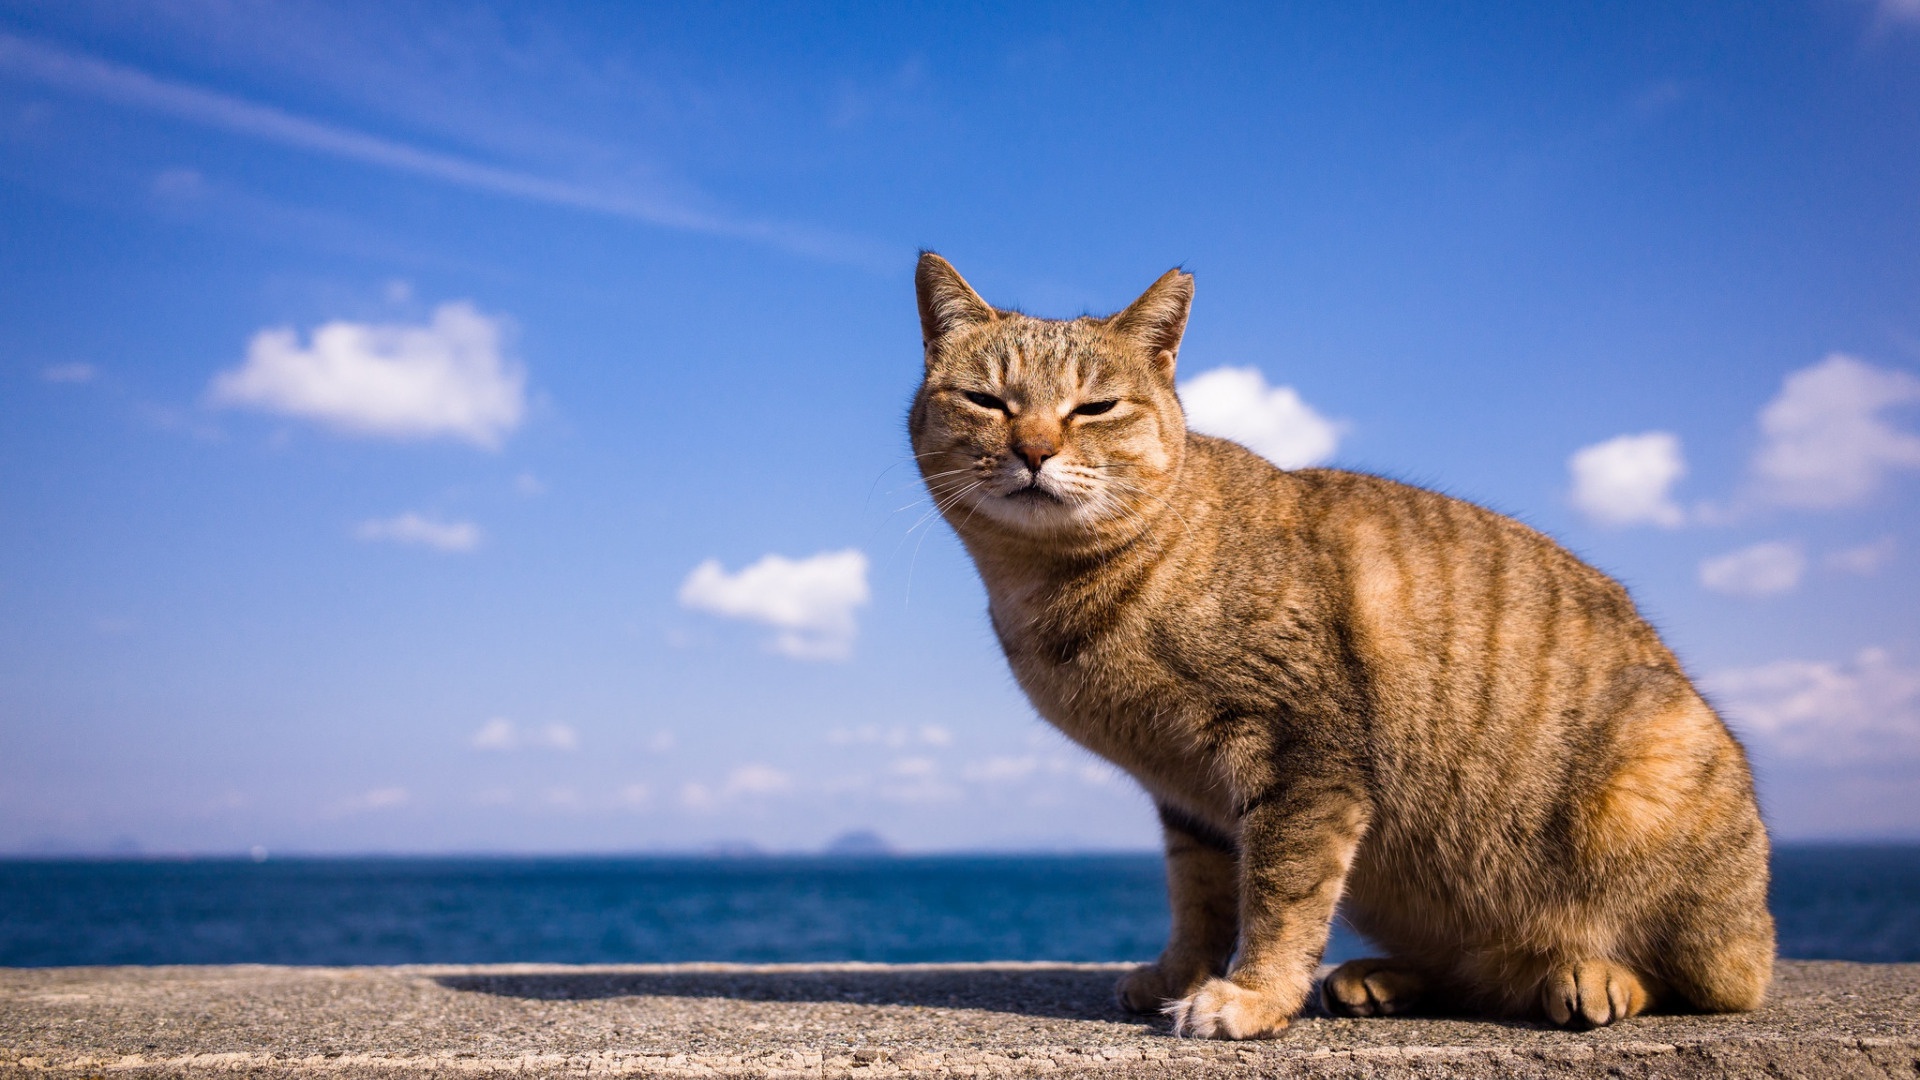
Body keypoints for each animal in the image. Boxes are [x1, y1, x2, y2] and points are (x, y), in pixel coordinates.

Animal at [906, 251, 1774, 1037]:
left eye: (1094, 408)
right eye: (987, 400)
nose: (1034, 449)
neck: (1058, 588)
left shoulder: (1304, 756)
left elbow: (1281, 893)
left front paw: (1251, 996)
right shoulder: (1190, 797)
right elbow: (1201, 898)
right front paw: (1180, 972)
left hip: (1654, 801)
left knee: (1709, 979)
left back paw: (1593, 975)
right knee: (1478, 975)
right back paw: (1386, 979)